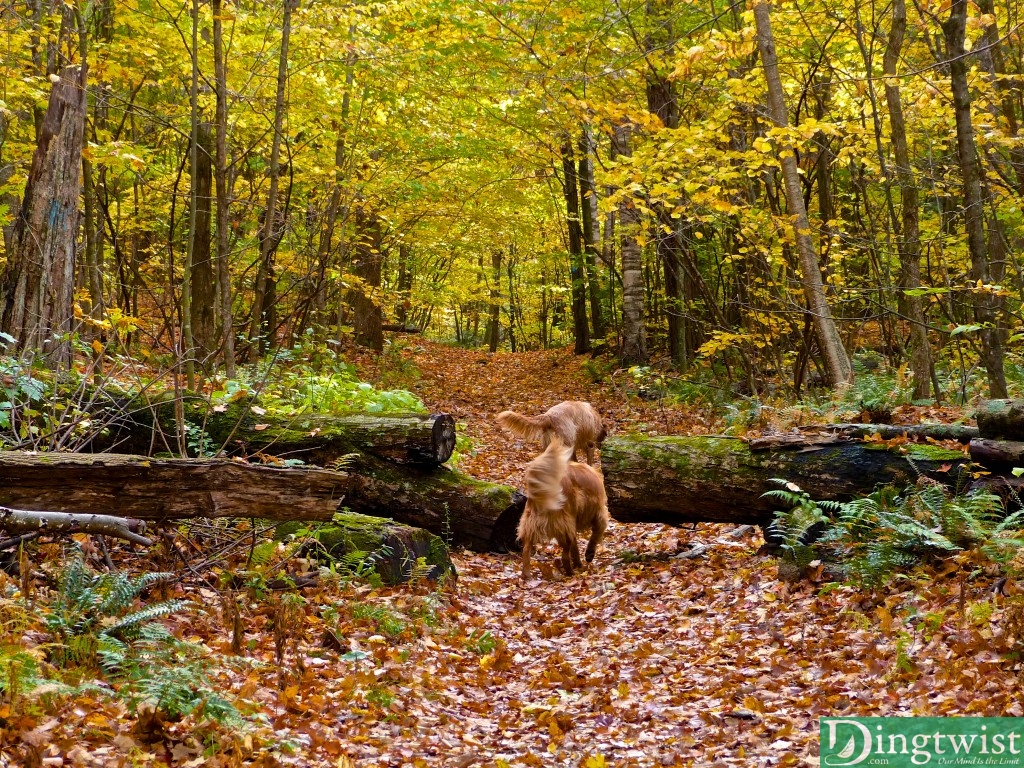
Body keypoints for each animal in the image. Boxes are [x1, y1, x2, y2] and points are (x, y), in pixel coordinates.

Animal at [520, 436, 606, 581]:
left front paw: (578, 563)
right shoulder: (600, 514)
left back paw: (526, 575)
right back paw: (570, 572)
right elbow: (595, 536)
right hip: (564, 526)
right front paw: (588, 554)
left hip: (532, 525)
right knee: (565, 555)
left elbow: (575, 548)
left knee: (526, 550)